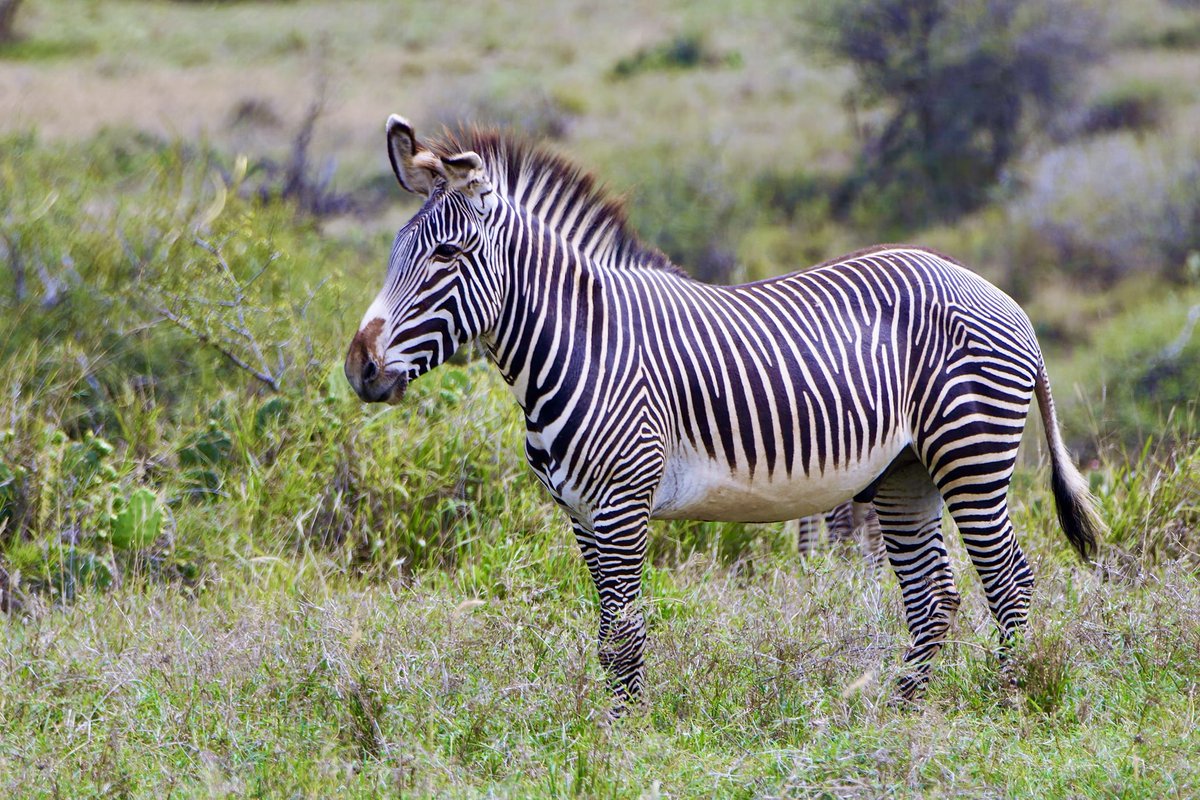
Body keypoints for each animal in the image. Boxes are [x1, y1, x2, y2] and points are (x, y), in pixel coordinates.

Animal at [345, 116, 1103, 713]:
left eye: (445, 255)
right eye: (394, 253)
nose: (359, 367)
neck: (582, 345)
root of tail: (1001, 297)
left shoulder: (622, 502)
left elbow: (625, 631)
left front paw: (623, 736)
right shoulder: (581, 513)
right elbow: (606, 631)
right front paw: (612, 726)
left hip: (970, 455)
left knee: (1008, 581)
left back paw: (1006, 698)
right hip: (904, 472)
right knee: (933, 594)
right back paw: (900, 708)